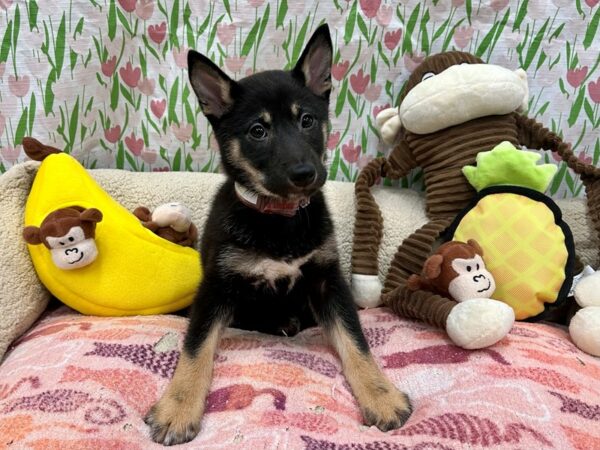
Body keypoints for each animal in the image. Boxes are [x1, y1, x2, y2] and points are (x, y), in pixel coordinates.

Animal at [144, 25, 412, 446]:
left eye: (307, 120)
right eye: (258, 130)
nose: (305, 173)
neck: (279, 218)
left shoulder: (327, 281)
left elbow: (356, 341)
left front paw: (381, 395)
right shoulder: (216, 286)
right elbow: (195, 347)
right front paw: (178, 407)